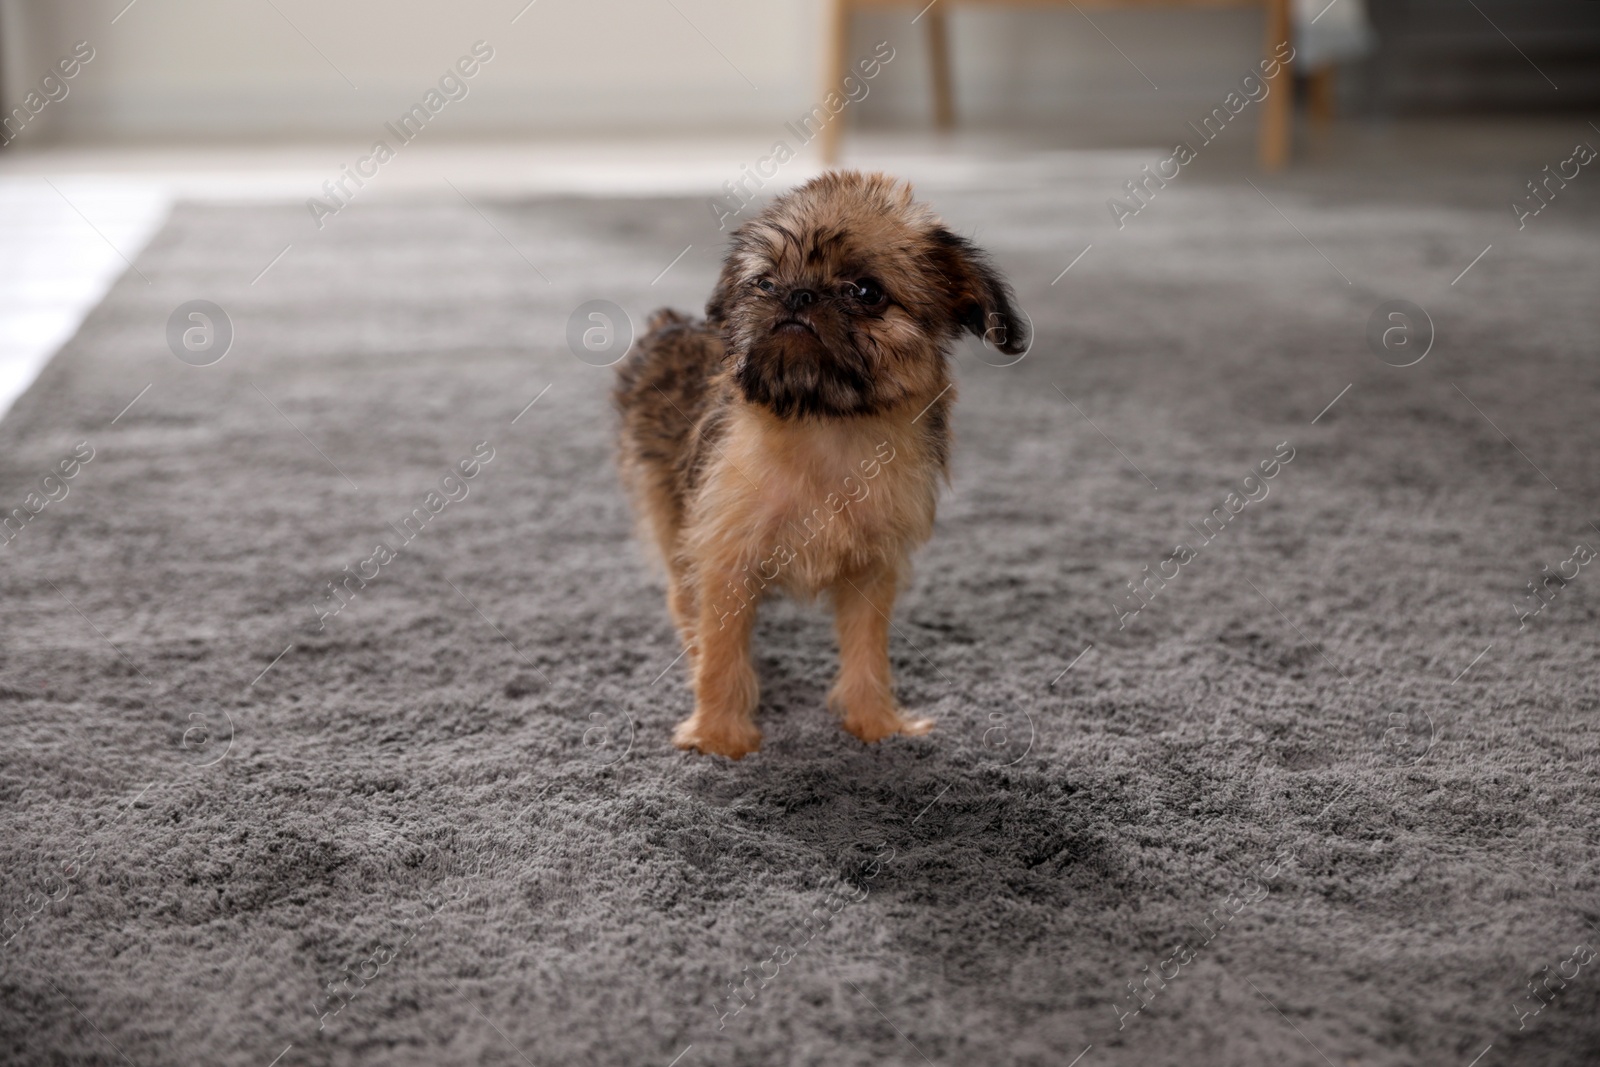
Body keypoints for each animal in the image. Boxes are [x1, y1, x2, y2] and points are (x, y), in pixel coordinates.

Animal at [611, 171, 1024, 758]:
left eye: (866, 292)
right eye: (764, 283)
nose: (797, 293)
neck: (825, 426)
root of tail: (668, 327)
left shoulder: (872, 567)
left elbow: (868, 651)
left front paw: (876, 724)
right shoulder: (724, 557)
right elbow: (722, 652)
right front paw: (719, 736)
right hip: (669, 512)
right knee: (683, 600)